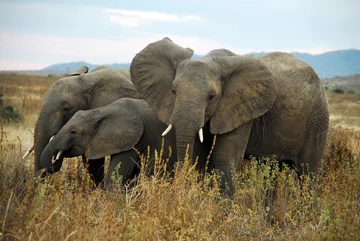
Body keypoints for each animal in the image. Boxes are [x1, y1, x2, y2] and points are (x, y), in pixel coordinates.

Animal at [129, 37, 330, 196]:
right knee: (270, 173)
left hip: (318, 119)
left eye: (212, 97)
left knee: (308, 173)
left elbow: (225, 158)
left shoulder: (241, 108)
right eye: (173, 91)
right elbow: (203, 157)